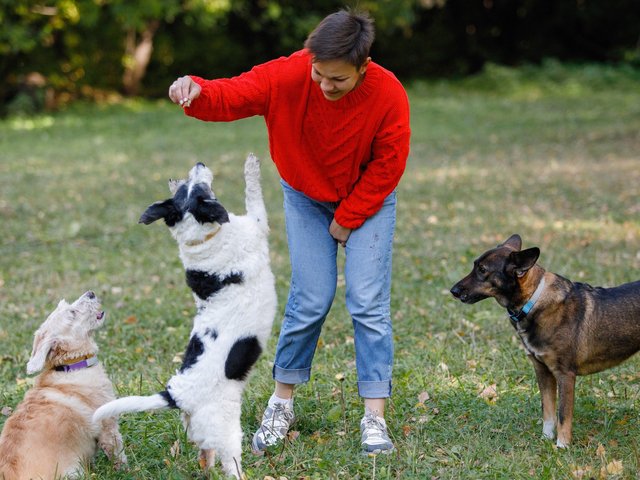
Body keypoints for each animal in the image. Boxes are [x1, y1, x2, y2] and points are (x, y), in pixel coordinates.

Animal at [0, 290, 126, 478]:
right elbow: (119, 454)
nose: (90, 293)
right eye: (72, 313)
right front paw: (128, 471)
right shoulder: (108, 427)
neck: (71, 365)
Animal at [92, 156, 276, 478]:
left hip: (200, 431)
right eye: (199, 186)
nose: (199, 162)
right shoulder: (257, 223)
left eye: (189, 186)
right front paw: (251, 165)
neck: (200, 237)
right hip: (227, 433)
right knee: (231, 466)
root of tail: (175, 394)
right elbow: (253, 192)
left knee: (205, 456)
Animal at [450, 234, 640, 448]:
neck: (533, 301)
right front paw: (545, 439)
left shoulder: (565, 375)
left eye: (482, 270)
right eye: (475, 265)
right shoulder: (542, 371)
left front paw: (562, 446)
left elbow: (563, 415)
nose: (453, 291)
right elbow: (548, 411)